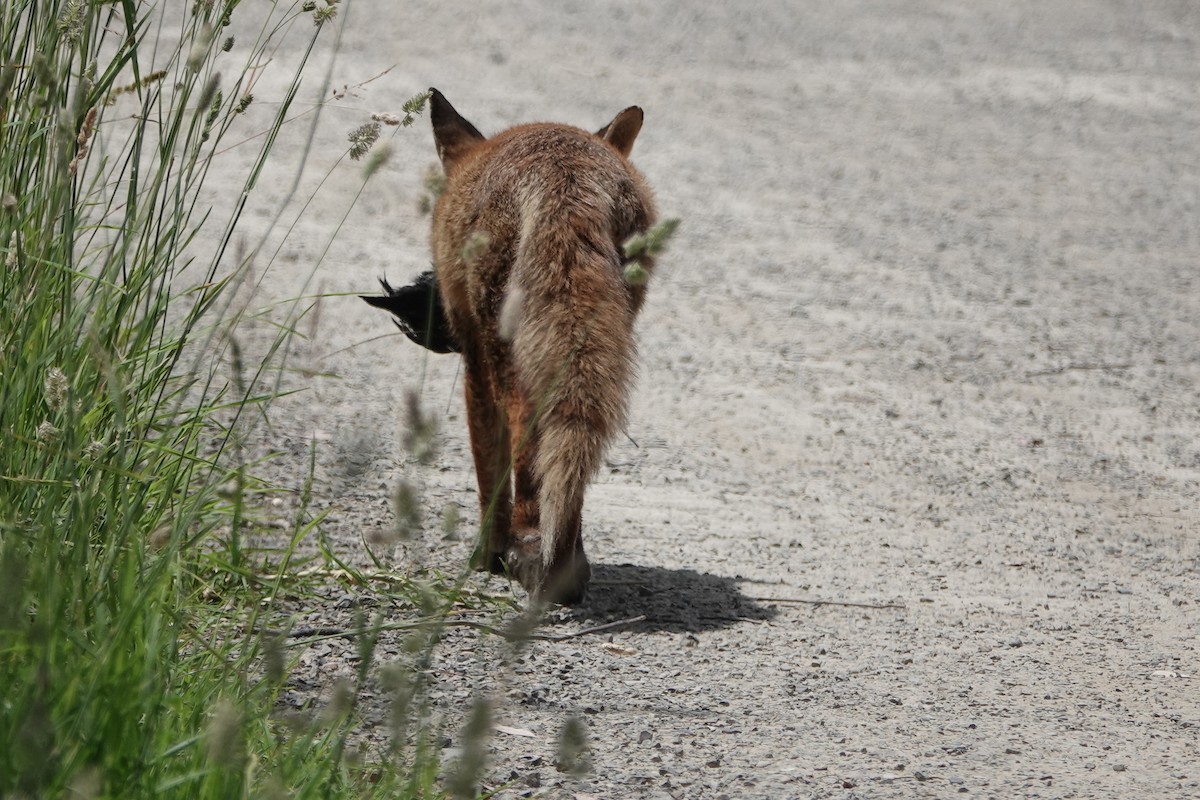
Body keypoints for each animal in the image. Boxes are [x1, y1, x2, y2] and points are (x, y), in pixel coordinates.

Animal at [417, 88, 659, 605]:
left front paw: (485, 555)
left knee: (527, 449)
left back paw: (529, 555)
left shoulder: (473, 359)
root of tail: (563, 175)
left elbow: (489, 470)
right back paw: (565, 562)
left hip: (509, 360)